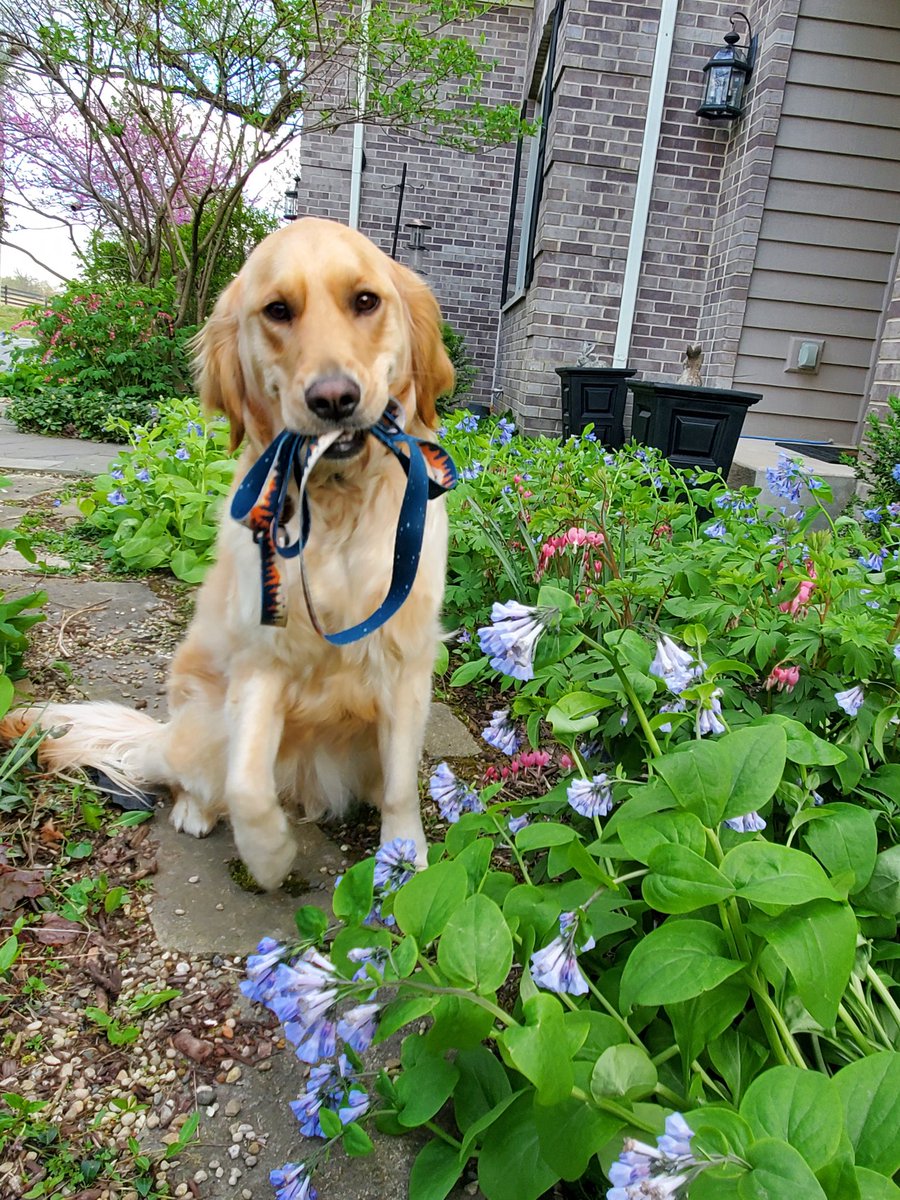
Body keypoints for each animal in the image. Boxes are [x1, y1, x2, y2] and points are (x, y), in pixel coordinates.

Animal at [3, 218, 458, 892]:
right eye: (278, 311)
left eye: (366, 301)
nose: (333, 398)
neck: (336, 509)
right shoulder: (258, 663)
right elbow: (247, 785)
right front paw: (269, 856)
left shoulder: (405, 665)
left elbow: (403, 783)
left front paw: (404, 859)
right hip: (202, 717)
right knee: (194, 778)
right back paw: (195, 811)